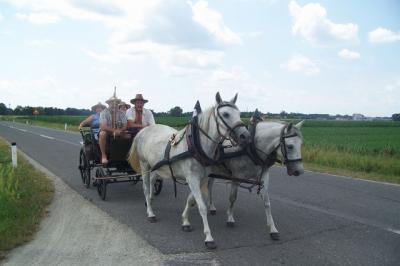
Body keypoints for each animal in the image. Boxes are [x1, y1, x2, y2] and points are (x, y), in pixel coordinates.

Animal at [128, 92, 250, 249]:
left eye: (240, 114)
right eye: (226, 114)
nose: (246, 136)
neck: (196, 144)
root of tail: (143, 130)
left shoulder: (201, 179)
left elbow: (191, 200)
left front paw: (185, 221)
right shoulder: (192, 178)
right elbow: (202, 206)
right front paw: (209, 237)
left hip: (155, 166)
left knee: (152, 182)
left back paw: (150, 199)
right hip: (144, 165)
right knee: (145, 187)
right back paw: (150, 213)